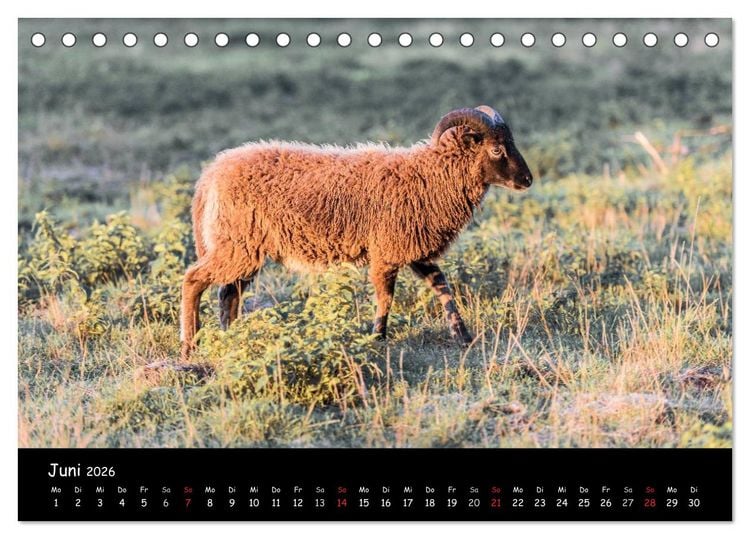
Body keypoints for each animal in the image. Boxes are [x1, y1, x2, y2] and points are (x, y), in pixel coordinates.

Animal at [180, 106, 532, 360]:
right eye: (497, 150)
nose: (528, 180)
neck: (429, 175)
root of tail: (210, 175)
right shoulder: (386, 252)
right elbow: (385, 298)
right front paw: (378, 337)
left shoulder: (414, 250)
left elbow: (442, 286)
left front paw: (464, 336)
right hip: (235, 245)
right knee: (193, 280)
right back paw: (190, 347)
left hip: (244, 248)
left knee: (228, 294)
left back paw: (232, 338)